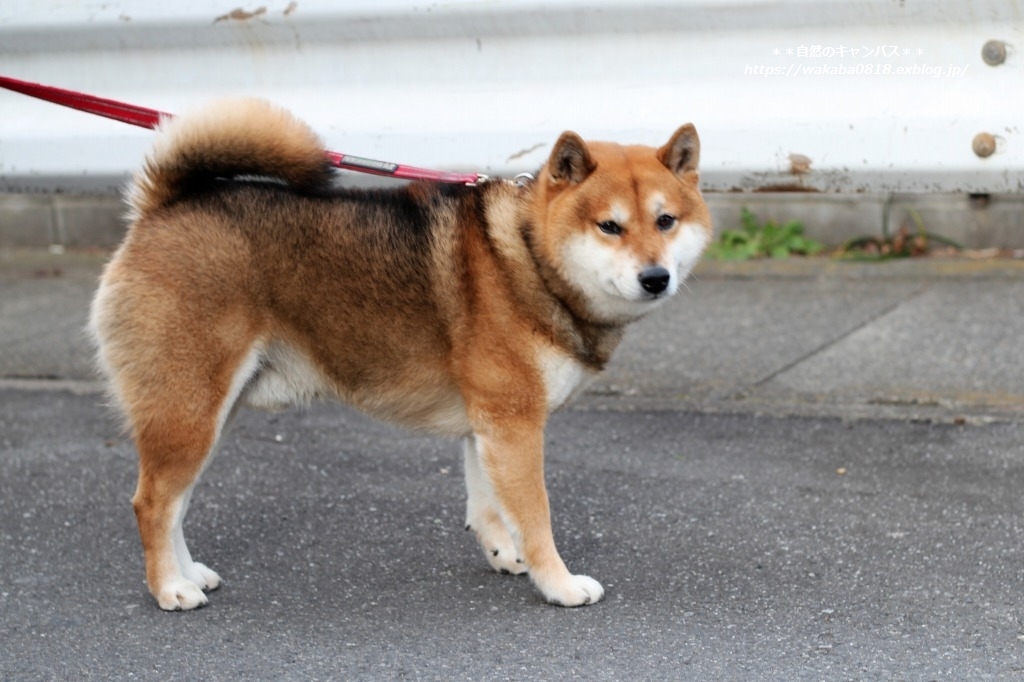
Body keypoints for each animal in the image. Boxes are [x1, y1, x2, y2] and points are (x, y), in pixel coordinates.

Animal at [90, 98, 712, 606]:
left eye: (665, 221)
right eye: (609, 226)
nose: (656, 277)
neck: (528, 256)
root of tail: (160, 207)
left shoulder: (489, 425)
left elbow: (488, 506)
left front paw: (504, 556)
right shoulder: (514, 423)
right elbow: (536, 516)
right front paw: (557, 584)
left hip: (206, 415)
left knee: (175, 503)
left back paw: (189, 574)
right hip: (189, 412)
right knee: (152, 504)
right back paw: (169, 589)